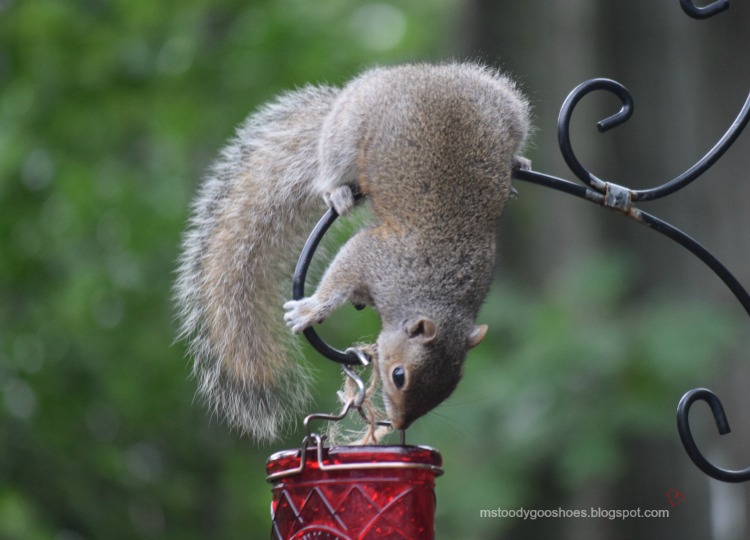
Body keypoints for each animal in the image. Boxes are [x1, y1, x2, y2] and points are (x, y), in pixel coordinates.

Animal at [176, 63, 532, 442]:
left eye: (450, 387)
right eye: (399, 376)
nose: (401, 424)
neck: (436, 291)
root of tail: (420, 73)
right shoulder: (375, 254)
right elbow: (341, 274)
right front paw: (311, 311)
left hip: (508, 108)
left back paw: (517, 159)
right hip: (345, 132)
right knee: (330, 171)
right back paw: (338, 193)